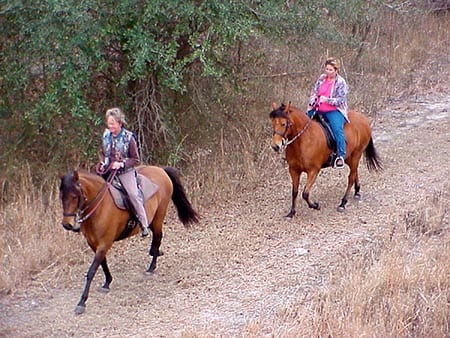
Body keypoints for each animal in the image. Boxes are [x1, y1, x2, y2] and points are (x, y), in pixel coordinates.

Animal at [59, 166, 199, 314]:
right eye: (61, 197)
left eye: (75, 196)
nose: (67, 224)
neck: (100, 207)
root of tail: (160, 169)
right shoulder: (93, 244)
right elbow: (103, 263)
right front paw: (107, 282)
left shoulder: (104, 243)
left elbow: (91, 271)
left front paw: (82, 302)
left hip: (158, 217)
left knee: (157, 238)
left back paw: (152, 265)